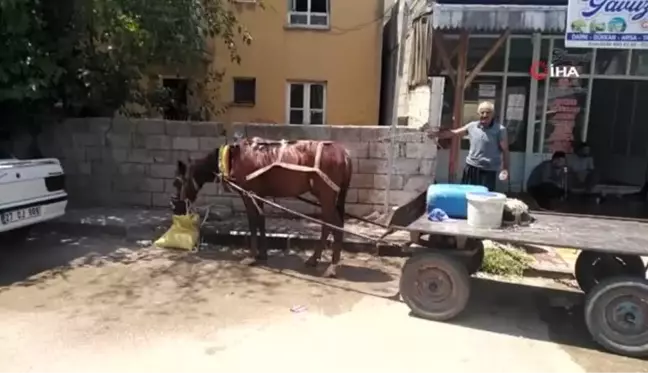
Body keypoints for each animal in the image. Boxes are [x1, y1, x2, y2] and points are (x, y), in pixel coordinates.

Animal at [175, 137, 352, 276]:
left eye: (178, 181)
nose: (177, 207)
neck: (233, 158)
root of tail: (344, 153)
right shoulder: (258, 195)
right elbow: (261, 221)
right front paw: (263, 254)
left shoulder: (248, 194)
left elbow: (253, 222)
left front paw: (252, 256)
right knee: (330, 225)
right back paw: (316, 260)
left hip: (327, 195)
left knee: (333, 225)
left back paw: (330, 266)